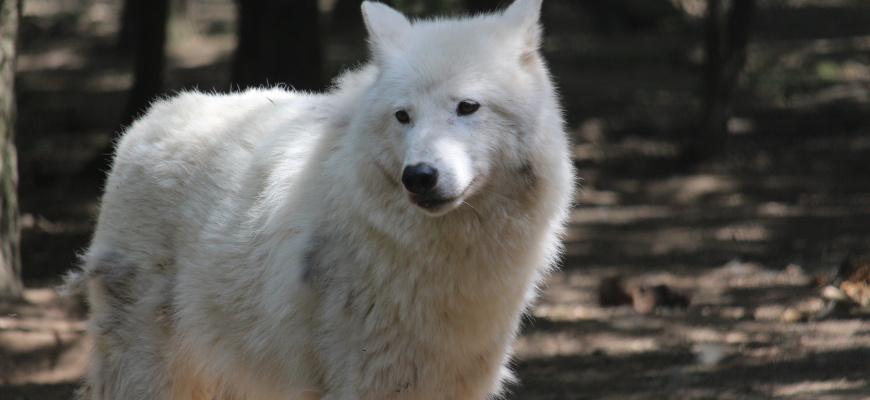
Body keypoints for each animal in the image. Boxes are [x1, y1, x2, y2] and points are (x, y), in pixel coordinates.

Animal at [64, 0, 576, 398]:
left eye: (467, 107)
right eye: (403, 116)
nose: (419, 177)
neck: (447, 263)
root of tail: (147, 120)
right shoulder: (360, 384)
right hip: (149, 370)